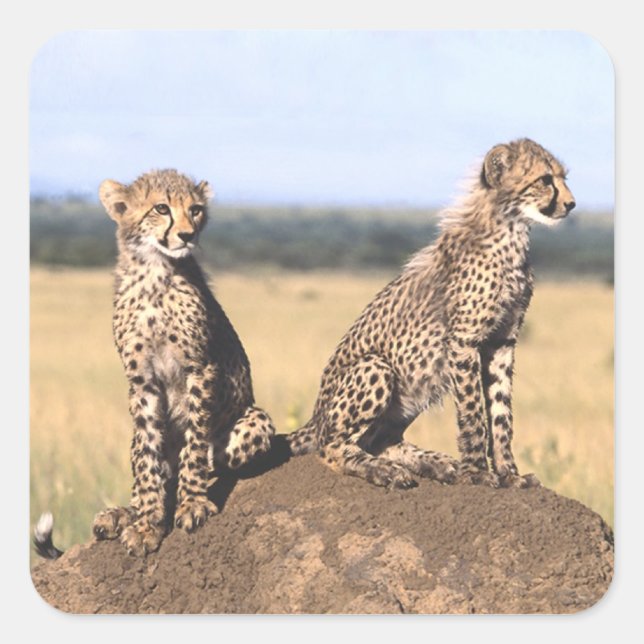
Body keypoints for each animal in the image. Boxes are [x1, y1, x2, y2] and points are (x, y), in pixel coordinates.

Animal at [85, 168, 276, 556]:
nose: (188, 235)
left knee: (212, 461)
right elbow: (149, 460)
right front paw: (146, 523)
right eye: (161, 208)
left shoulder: (199, 369)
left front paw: (191, 503)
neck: (154, 273)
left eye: (196, 209)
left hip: (256, 421)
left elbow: (195, 443)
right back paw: (119, 515)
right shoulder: (141, 380)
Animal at [287, 138, 575, 490]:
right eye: (545, 179)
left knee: (380, 440)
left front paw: (509, 473)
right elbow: (473, 412)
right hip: (377, 367)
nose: (571, 204)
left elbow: (500, 411)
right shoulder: (464, 341)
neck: (510, 229)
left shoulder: (502, 341)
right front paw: (478, 472)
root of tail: (314, 417)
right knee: (331, 447)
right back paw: (386, 471)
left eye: (562, 177)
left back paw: (436, 464)